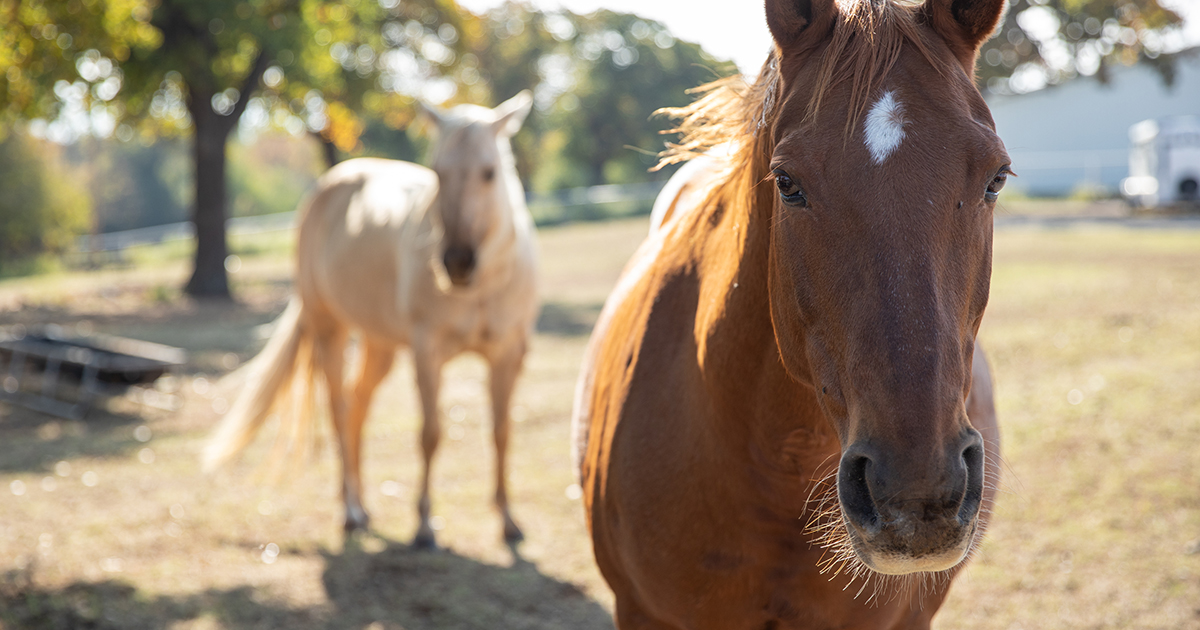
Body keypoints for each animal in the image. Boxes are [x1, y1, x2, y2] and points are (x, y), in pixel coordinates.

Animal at [208, 89, 537, 544]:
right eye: (438, 173)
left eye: (489, 173)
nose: (457, 263)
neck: (482, 288)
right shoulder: (427, 353)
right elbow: (431, 434)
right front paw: (424, 525)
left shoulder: (508, 353)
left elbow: (502, 432)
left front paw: (508, 520)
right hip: (330, 329)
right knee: (338, 408)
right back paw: (350, 511)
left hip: (378, 343)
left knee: (356, 407)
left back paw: (363, 507)